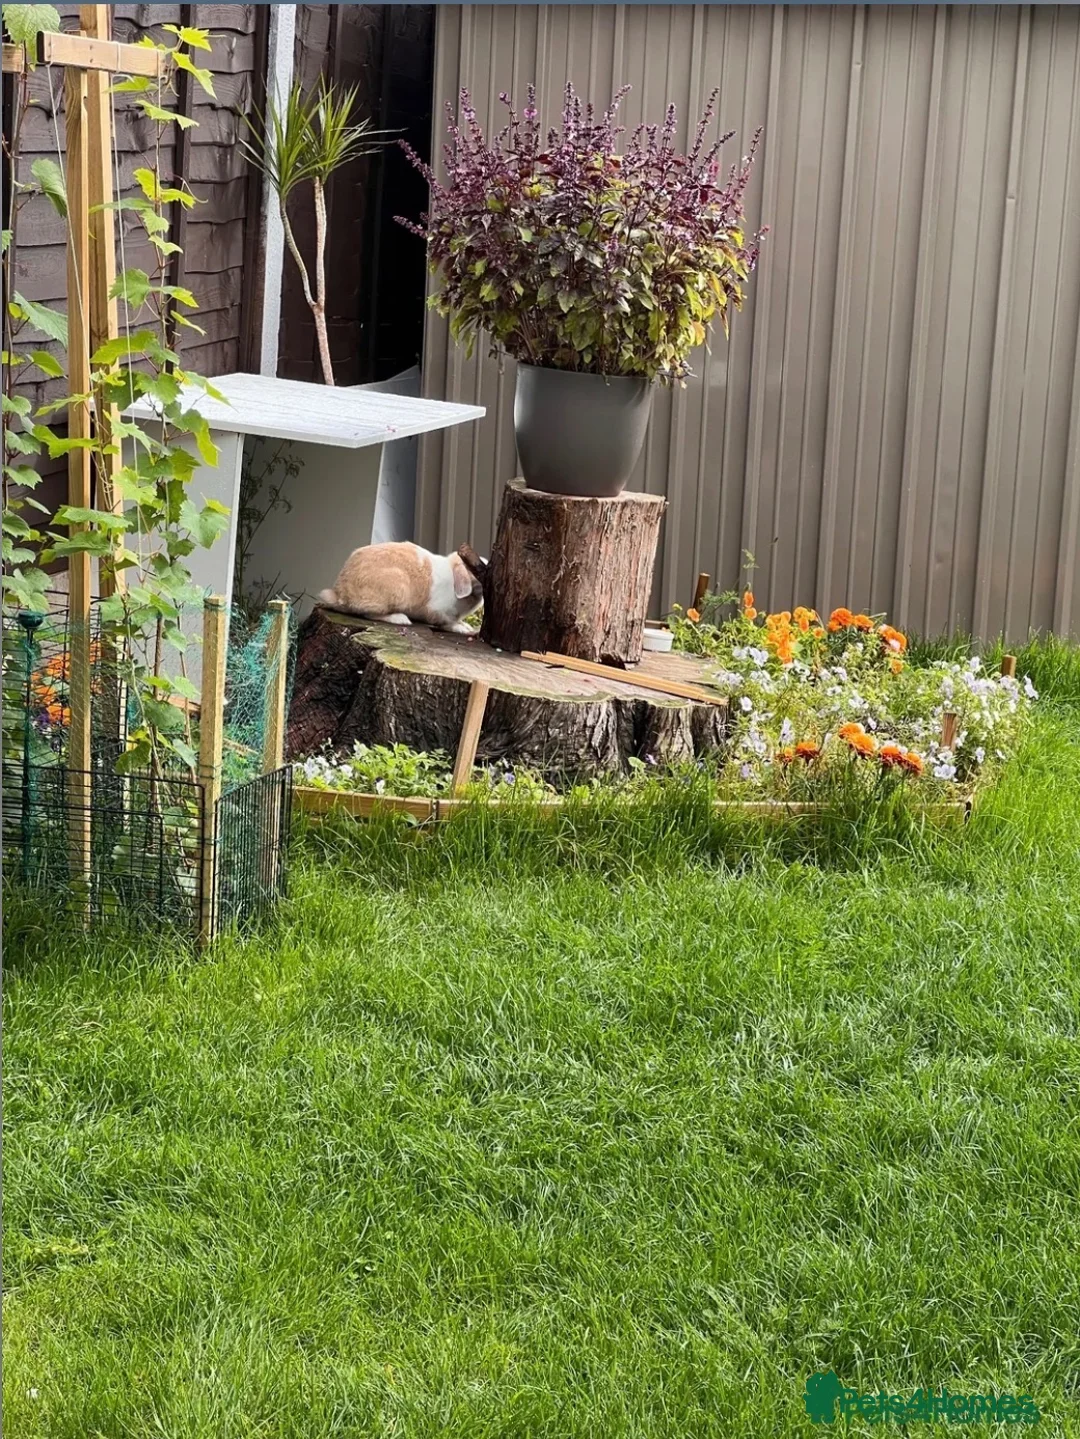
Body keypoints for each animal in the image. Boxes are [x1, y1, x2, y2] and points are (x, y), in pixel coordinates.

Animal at [318, 542, 485, 635]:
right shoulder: (436, 611)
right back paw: (400, 619)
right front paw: (461, 629)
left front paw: (466, 626)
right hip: (397, 588)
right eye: (476, 569)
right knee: (368, 613)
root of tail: (340, 594)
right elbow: (445, 622)